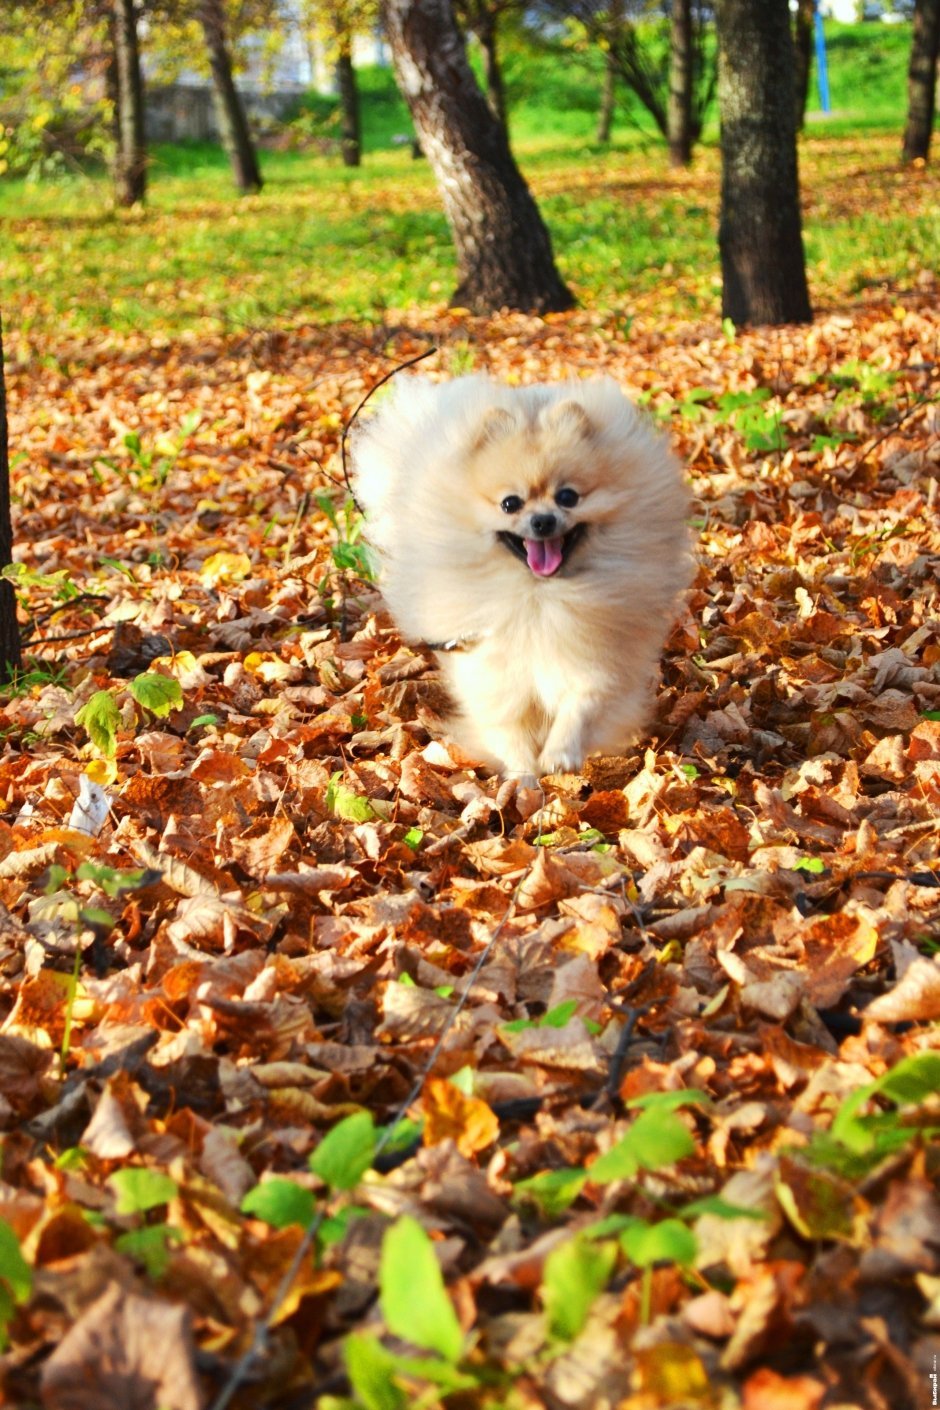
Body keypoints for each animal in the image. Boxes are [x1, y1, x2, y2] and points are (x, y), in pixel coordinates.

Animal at [352, 375, 690, 783]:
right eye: (510, 503)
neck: (538, 596)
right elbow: (508, 726)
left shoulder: (595, 657)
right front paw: (522, 777)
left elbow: (583, 703)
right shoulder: (492, 668)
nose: (543, 520)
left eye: (568, 497)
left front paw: (560, 753)